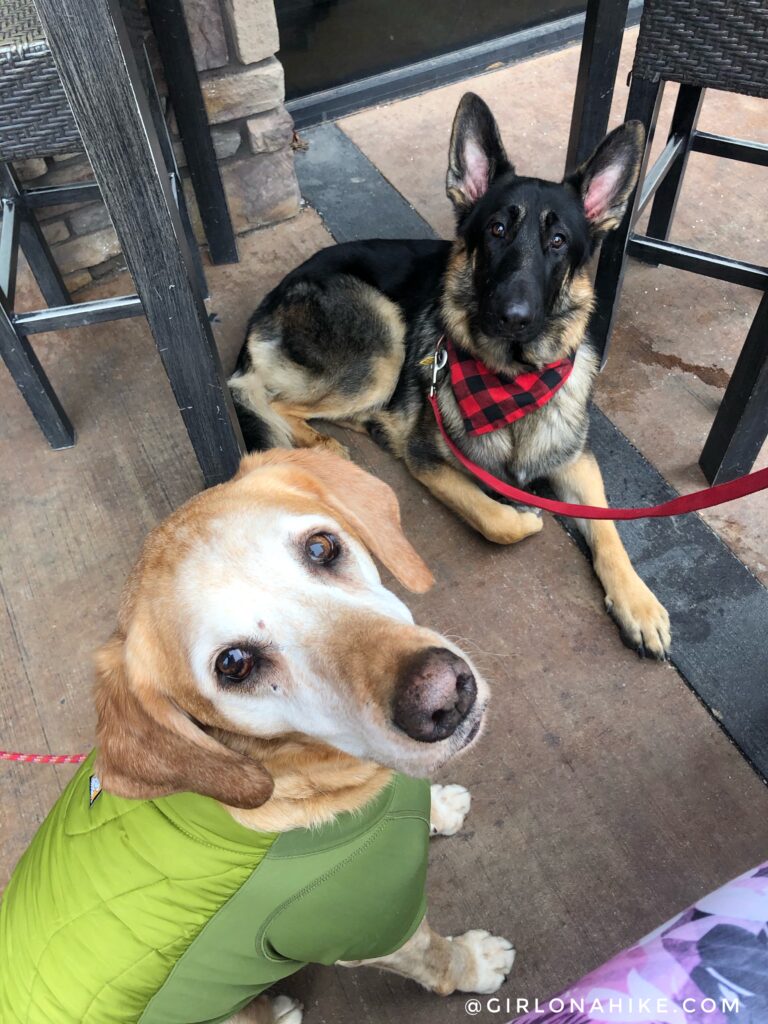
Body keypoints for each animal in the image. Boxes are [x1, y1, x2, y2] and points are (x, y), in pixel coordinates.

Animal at [3, 450, 518, 1024]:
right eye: (234, 664)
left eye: (321, 547)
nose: (443, 697)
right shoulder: (371, 928)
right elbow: (436, 958)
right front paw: (477, 963)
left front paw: (440, 806)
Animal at [230, 94, 671, 655]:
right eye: (496, 231)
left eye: (558, 241)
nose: (513, 316)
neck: (511, 381)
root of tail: (269, 300)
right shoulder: (430, 462)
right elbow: (496, 520)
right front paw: (524, 518)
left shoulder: (576, 461)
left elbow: (610, 532)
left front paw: (638, 602)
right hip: (383, 340)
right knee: (268, 397)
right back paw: (322, 443)